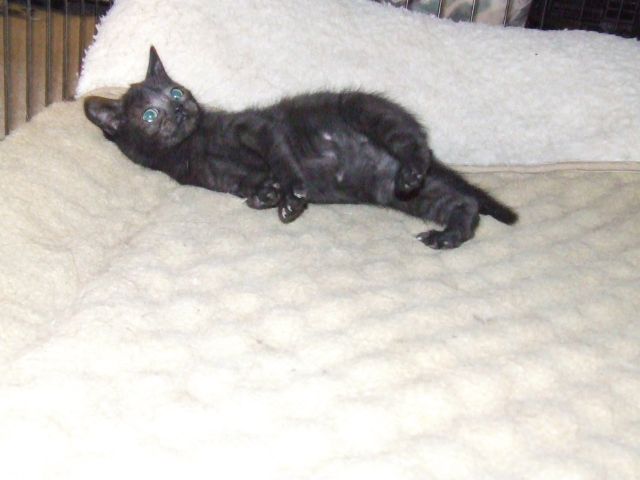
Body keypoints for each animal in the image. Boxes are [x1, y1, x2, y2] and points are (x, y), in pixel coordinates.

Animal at [84, 46, 517, 249]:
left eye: (175, 91)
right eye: (149, 115)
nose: (178, 108)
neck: (196, 144)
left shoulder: (257, 127)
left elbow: (281, 157)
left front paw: (291, 193)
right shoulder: (219, 178)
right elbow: (251, 184)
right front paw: (267, 195)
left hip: (366, 110)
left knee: (415, 145)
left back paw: (414, 168)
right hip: (397, 192)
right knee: (462, 202)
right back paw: (450, 233)